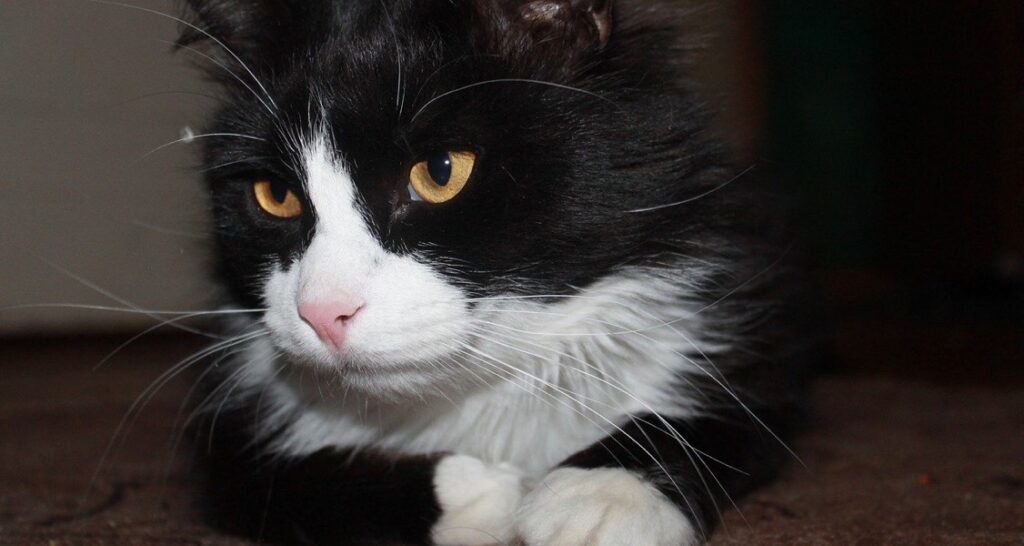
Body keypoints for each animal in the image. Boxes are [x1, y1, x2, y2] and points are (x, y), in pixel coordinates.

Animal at [176, 1, 815, 544]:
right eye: (274, 195)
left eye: (440, 171)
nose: (321, 311)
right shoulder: (226, 432)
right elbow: (275, 483)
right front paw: (483, 494)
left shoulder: (758, 318)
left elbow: (725, 413)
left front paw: (601, 494)